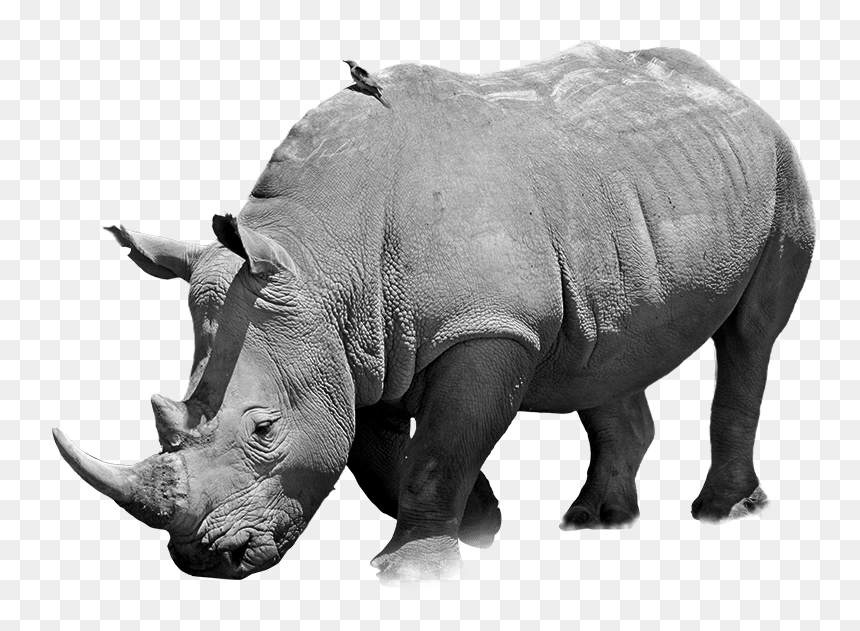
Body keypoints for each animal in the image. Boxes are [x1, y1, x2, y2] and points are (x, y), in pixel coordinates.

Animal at [54, 44, 814, 580]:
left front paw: (413, 572)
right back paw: (597, 522)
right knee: (606, 347)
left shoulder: (487, 328)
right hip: (626, 201)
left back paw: (720, 512)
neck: (320, 251)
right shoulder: (355, 343)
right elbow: (379, 454)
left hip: (781, 166)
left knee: (751, 336)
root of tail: (736, 90)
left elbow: (439, 448)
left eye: (264, 429)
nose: (205, 560)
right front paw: (480, 524)